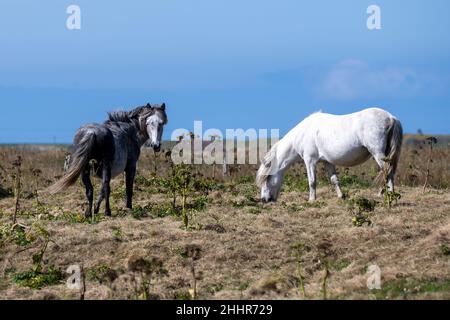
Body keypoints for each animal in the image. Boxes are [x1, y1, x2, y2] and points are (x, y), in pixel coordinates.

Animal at [256, 107, 404, 202]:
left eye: (267, 178)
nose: (264, 200)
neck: (304, 133)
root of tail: (391, 118)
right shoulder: (328, 162)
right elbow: (334, 180)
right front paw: (341, 196)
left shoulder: (310, 161)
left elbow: (312, 181)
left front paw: (312, 200)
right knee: (388, 171)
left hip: (377, 153)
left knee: (387, 171)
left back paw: (388, 194)